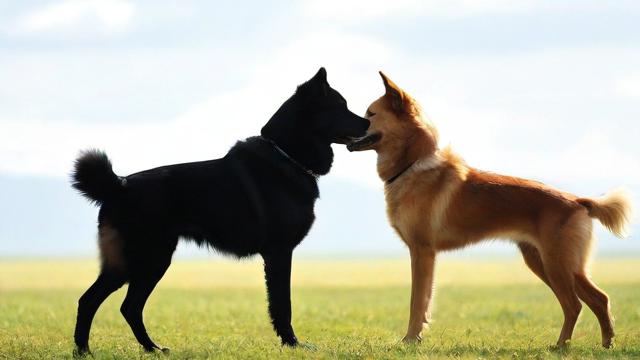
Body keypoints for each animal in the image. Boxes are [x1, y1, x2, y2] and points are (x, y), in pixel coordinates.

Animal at [70, 68, 368, 354]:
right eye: (341, 106)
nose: (368, 121)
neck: (287, 155)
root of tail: (118, 184)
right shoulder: (279, 251)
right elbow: (283, 304)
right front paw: (292, 343)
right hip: (142, 259)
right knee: (90, 300)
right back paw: (84, 350)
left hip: (151, 261)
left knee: (129, 307)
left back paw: (151, 348)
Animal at [348, 71, 632, 348]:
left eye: (370, 114)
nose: (345, 134)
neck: (413, 165)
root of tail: (578, 201)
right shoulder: (423, 254)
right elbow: (423, 301)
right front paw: (415, 338)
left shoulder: (422, 252)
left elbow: (417, 302)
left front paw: (409, 340)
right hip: (550, 264)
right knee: (596, 300)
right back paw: (603, 343)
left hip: (557, 264)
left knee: (575, 304)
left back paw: (563, 345)